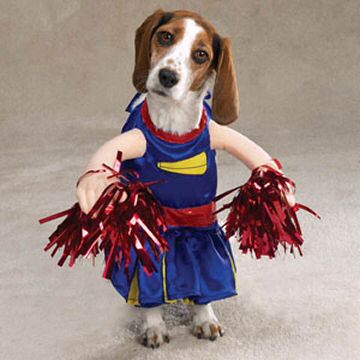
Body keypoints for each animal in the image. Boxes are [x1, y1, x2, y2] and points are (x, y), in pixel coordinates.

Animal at [75, 7, 292, 348]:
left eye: (201, 54)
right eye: (166, 36)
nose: (167, 76)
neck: (173, 123)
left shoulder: (203, 228)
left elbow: (205, 276)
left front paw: (204, 318)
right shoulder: (146, 228)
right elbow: (147, 284)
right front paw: (153, 325)